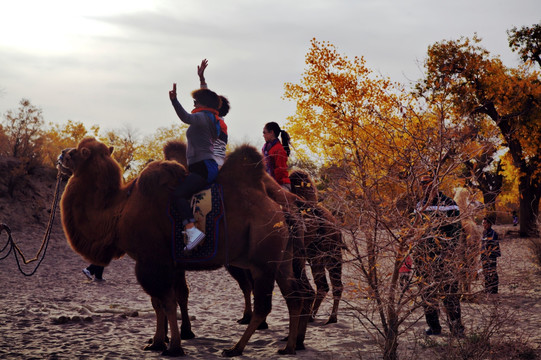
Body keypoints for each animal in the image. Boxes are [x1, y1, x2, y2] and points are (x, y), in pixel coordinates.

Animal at [58, 137, 308, 358]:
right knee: (294, 295)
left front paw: (173, 347)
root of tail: (283, 209)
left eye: (79, 152)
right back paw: (289, 347)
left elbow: (167, 303)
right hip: (283, 259)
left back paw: (236, 348)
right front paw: (157, 342)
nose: (61, 154)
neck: (119, 210)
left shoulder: (152, 261)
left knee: (264, 305)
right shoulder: (163, 263)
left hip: (263, 261)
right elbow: (159, 302)